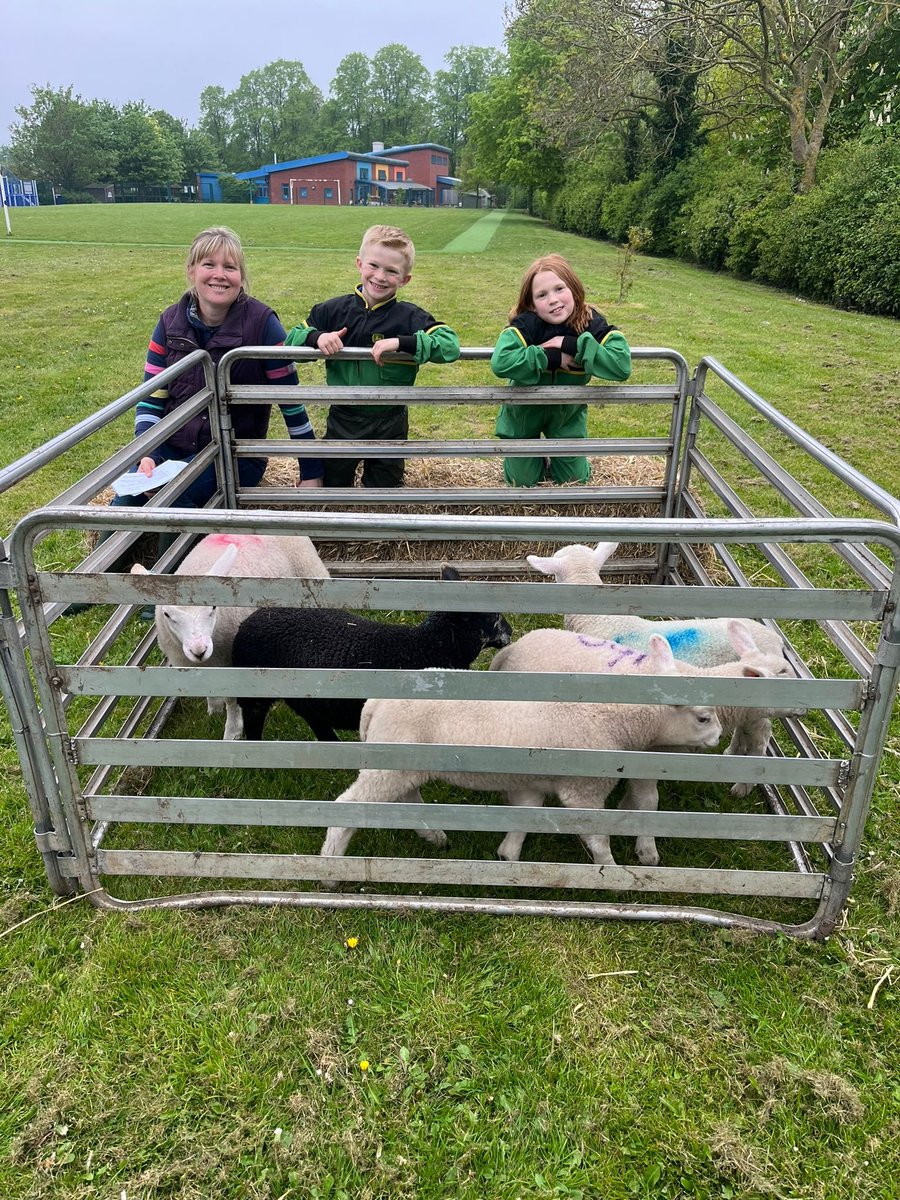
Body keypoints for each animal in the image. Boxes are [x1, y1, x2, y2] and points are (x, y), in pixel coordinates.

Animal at [132, 535, 328, 739]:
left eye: (213, 607)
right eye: (167, 615)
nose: (199, 650)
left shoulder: (230, 665)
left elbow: (232, 700)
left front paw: (233, 731)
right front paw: (214, 709)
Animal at [232, 564, 513, 739]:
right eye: (493, 617)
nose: (511, 632)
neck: (427, 646)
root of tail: (247, 622)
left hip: (306, 697)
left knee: (319, 724)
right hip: (254, 694)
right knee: (254, 726)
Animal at [321, 633, 724, 878]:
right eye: (703, 717)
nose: (720, 737)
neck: (612, 716)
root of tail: (375, 703)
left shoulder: (531, 783)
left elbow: (525, 817)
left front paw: (507, 857)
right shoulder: (584, 789)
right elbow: (598, 837)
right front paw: (610, 873)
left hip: (400, 763)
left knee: (406, 798)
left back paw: (434, 836)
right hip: (389, 763)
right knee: (350, 806)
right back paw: (330, 867)